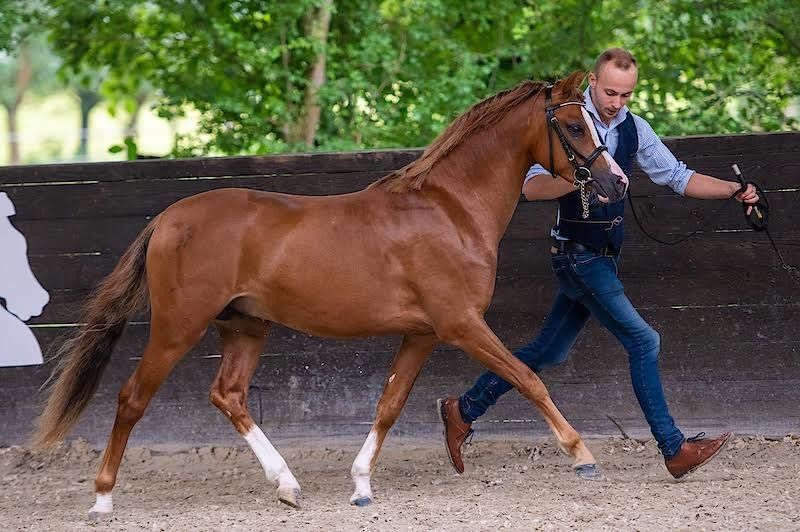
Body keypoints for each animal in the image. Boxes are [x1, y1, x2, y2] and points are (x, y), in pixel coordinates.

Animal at [33, 70, 628, 517]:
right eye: (573, 125)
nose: (616, 182)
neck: (451, 209)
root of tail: (166, 220)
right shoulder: (461, 324)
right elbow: (528, 378)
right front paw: (582, 455)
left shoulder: (423, 333)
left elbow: (389, 404)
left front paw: (361, 484)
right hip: (179, 327)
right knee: (132, 398)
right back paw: (103, 499)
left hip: (245, 327)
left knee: (229, 395)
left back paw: (287, 485)